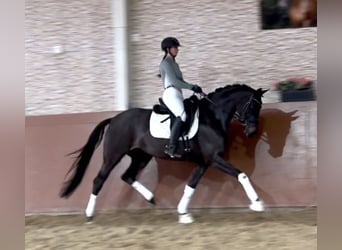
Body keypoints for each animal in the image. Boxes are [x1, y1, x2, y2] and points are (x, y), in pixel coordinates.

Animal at [60, 84, 268, 223]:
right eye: (253, 105)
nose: (252, 132)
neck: (212, 118)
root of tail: (114, 118)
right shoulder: (214, 158)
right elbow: (242, 175)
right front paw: (257, 203)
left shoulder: (204, 162)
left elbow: (191, 186)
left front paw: (183, 213)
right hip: (113, 156)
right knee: (99, 180)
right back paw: (89, 215)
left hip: (141, 156)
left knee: (127, 176)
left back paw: (151, 197)